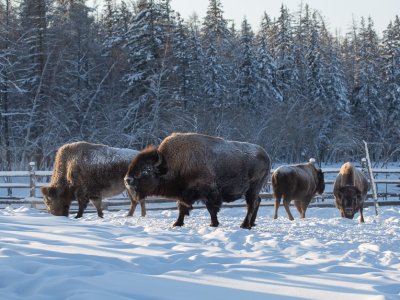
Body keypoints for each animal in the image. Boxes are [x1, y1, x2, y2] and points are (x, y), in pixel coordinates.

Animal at [123, 132, 270, 229]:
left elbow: (211, 209)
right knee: (257, 202)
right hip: (253, 191)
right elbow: (182, 208)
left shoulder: (209, 193)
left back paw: (244, 225)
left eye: (146, 169)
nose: (127, 180)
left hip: (253, 188)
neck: (170, 164)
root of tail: (265, 154)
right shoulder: (184, 195)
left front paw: (213, 224)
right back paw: (252, 223)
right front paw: (177, 223)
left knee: (251, 205)